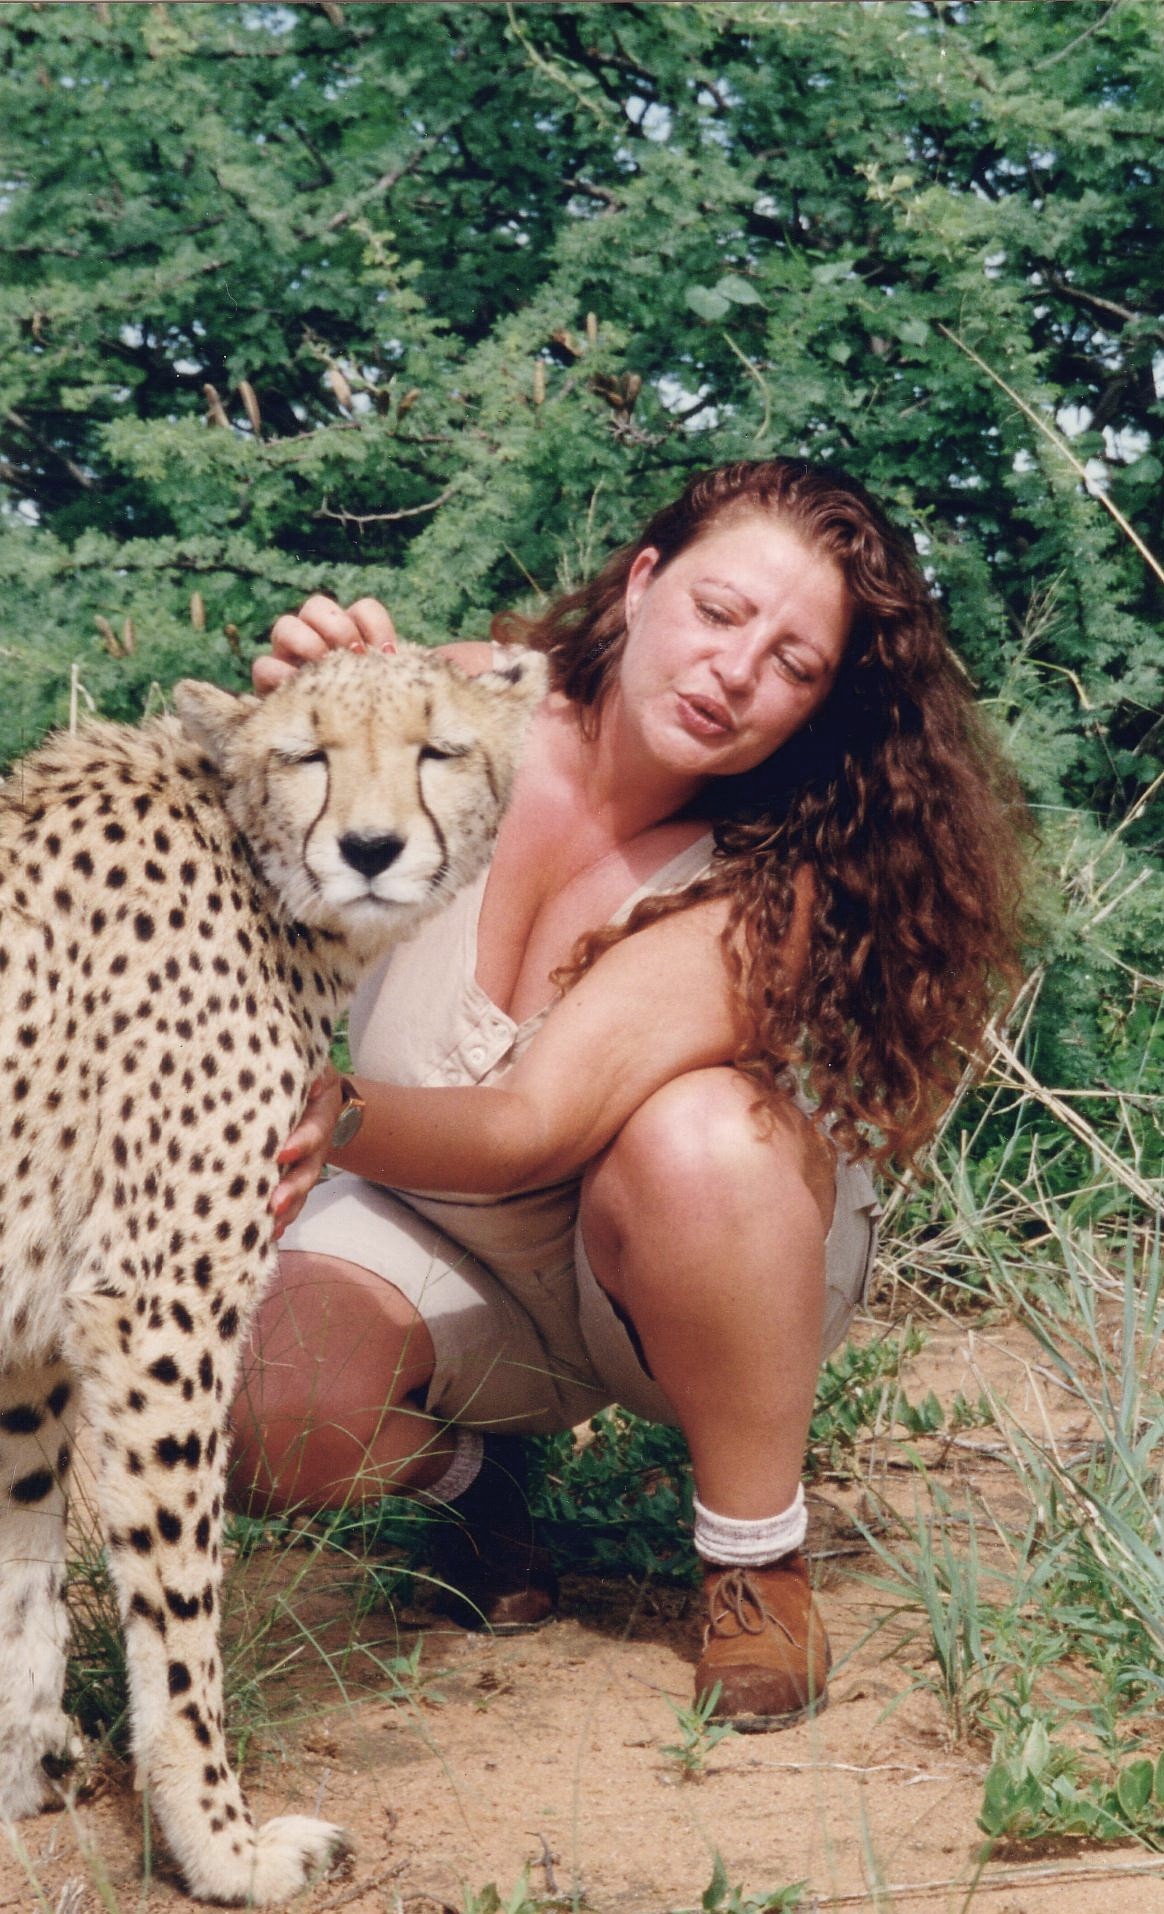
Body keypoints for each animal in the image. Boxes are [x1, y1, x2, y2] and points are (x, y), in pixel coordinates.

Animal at [1, 643, 543, 1898]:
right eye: (308, 755)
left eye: (439, 749)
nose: (372, 850)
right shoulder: (157, 1314)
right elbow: (176, 1615)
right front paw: (223, 1847)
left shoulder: (36, 1338)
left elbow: (22, 1573)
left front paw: (23, 1771)